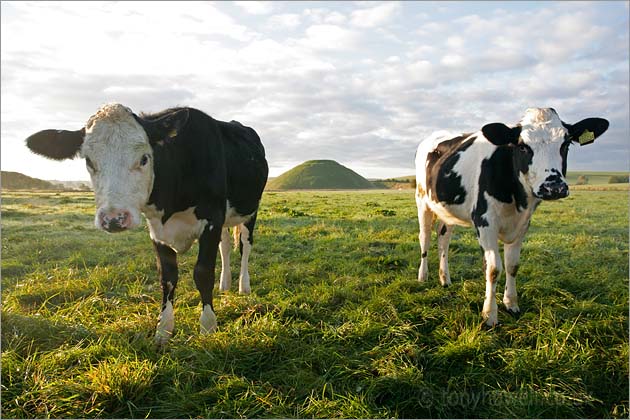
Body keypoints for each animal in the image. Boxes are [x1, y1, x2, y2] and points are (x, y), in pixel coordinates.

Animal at [25, 103, 270, 342]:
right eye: (88, 161)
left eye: (144, 158)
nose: (113, 218)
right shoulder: (157, 231)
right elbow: (168, 278)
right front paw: (163, 331)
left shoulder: (212, 219)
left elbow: (202, 273)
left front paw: (208, 328)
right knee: (225, 246)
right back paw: (225, 284)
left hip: (251, 211)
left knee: (245, 246)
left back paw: (243, 286)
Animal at [418, 106, 608, 326]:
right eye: (522, 146)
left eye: (566, 143)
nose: (554, 187)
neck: (517, 198)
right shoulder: (484, 222)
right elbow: (493, 269)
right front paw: (490, 315)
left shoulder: (523, 223)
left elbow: (512, 265)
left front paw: (511, 303)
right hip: (422, 201)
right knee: (425, 238)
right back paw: (423, 276)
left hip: (447, 211)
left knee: (444, 240)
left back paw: (445, 279)